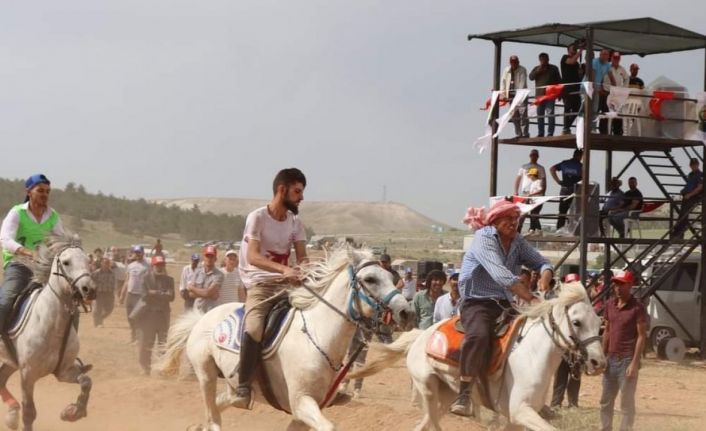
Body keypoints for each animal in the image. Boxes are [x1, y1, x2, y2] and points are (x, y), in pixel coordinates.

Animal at [0, 235, 95, 430]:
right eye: (66, 262)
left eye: (88, 261)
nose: (89, 290)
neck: (52, 326)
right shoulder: (27, 375)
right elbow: (29, 412)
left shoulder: (64, 371)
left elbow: (86, 382)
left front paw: (72, 412)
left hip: (10, 362)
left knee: (1, 380)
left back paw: (12, 415)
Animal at [158, 246, 412, 431]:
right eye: (370, 279)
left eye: (392, 277)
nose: (406, 313)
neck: (318, 340)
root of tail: (201, 319)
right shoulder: (302, 403)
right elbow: (329, 427)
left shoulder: (305, 412)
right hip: (206, 375)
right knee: (213, 417)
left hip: (232, 386)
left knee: (220, 406)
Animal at [346, 284, 604, 431]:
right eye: (577, 322)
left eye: (600, 324)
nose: (598, 363)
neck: (532, 354)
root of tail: (421, 335)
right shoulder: (521, 411)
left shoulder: (514, 419)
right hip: (427, 389)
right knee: (431, 423)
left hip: (445, 396)